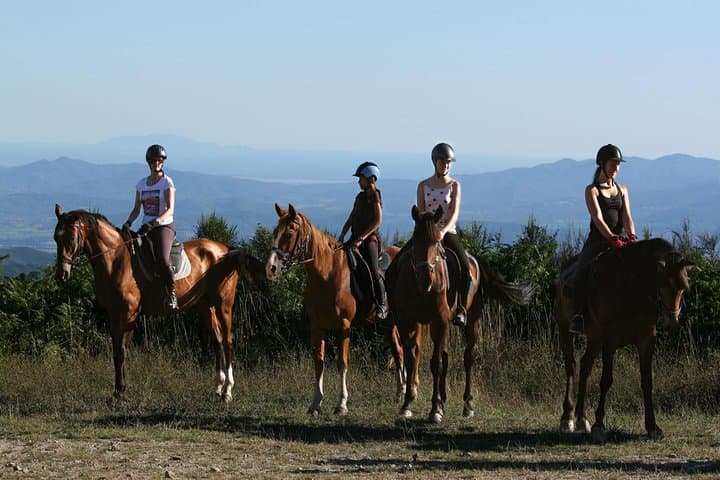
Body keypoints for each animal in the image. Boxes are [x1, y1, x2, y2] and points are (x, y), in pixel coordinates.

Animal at [53, 204, 265, 402]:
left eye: (71, 238)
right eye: (56, 238)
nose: (62, 274)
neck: (115, 260)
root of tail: (227, 250)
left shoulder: (129, 314)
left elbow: (122, 352)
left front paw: (120, 392)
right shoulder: (113, 314)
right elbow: (115, 353)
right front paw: (116, 392)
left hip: (223, 305)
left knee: (228, 342)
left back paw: (227, 392)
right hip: (205, 306)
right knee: (218, 341)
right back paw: (218, 388)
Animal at [265, 203, 403, 415]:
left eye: (289, 231)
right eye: (274, 232)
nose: (271, 268)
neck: (327, 273)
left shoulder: (343, 326)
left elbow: (342, 362)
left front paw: (342, 404)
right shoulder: (317, 326)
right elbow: (319, 362)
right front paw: (315, 404)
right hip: (389, 324)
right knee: (398, 352)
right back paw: (399, 393)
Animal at [387, 205, 534, 423]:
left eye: (436, 242)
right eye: (415, 241)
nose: (426, 280)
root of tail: (474, 260)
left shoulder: (439, 322)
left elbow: (436, 363)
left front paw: (434, 410)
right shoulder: (408, 323)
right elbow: (412, 359)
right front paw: (407, 404)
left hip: (472, 320)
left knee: (468, 357)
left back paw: (467, 405)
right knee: (446, 356)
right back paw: (443, 401)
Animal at [555, 238, 693, 441]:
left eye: (683, 287)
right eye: (663, 284)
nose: (672, 321)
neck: (631, 287)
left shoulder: (646, 339)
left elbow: (647, 381)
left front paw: (653, 427)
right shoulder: (610, 339)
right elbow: (606, 380)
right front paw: (599, 426)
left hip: (595, 338)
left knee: (585, 366)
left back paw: (582, 419)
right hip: (566, 329)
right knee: (571, 366)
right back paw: (568, 418)